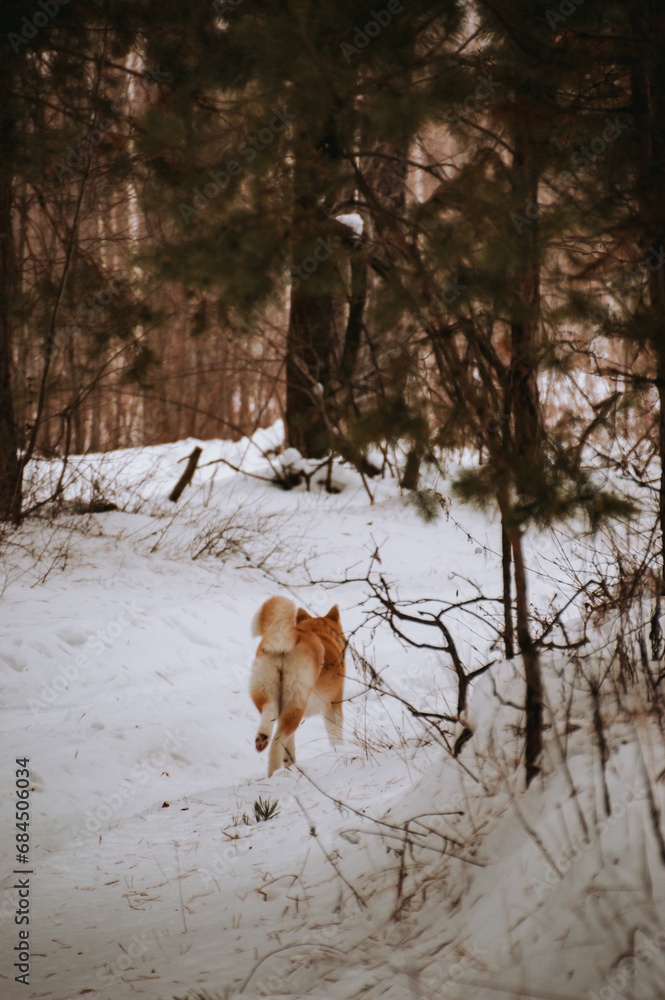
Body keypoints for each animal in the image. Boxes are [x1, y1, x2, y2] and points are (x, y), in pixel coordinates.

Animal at [248, 596, 344, 776]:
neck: (320, 633)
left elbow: (290, 744)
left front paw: (290, 763)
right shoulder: (334, 705)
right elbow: (336, 737)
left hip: (267, 693)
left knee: (270, 713)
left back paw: (262, 739)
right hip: (296, 703)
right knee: (277, 743)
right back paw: (274, 773)